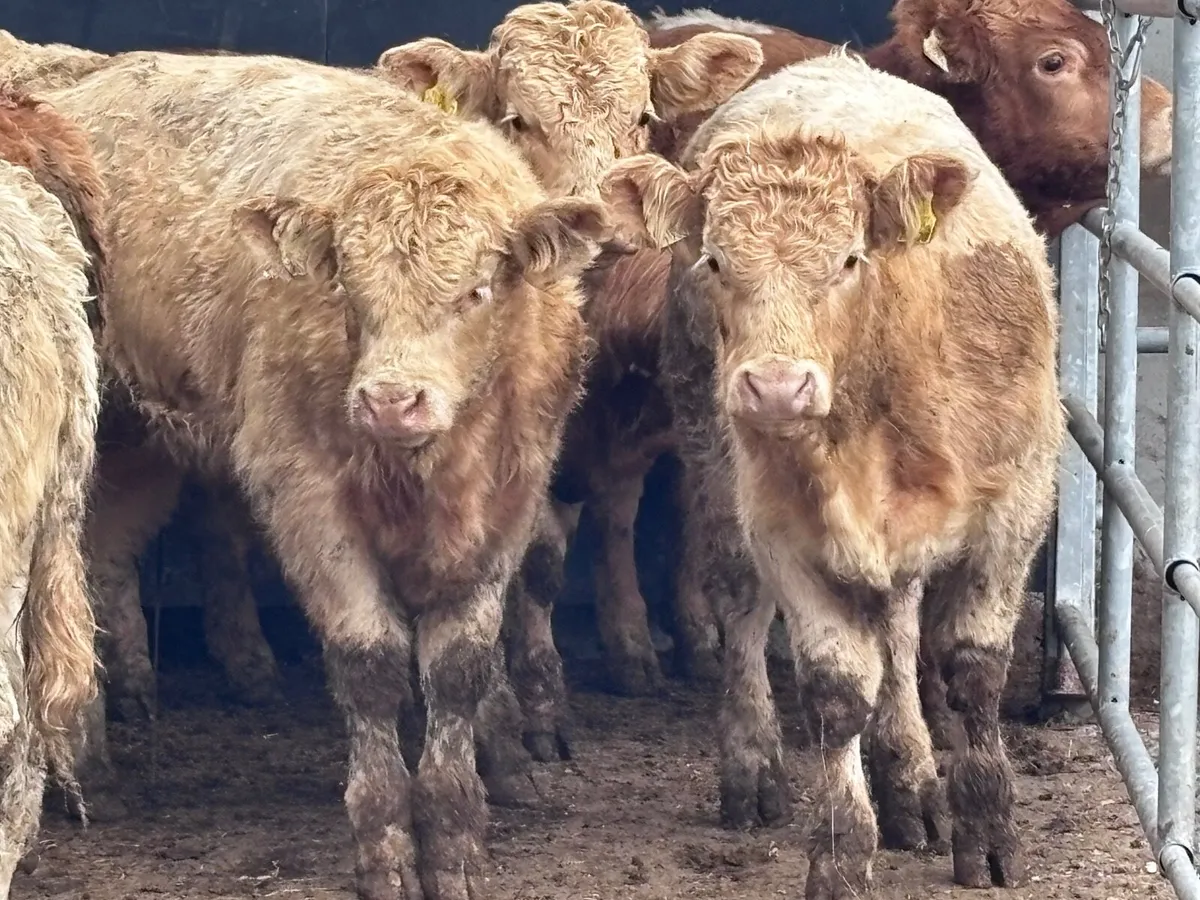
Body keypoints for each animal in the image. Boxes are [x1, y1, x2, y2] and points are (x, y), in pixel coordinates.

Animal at [40, 52, 606, 899]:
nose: (391, 400)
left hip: (142, 447)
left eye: (475, 290)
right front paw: (387, 848)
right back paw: (87, 768)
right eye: (349, 286)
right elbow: (370, 663)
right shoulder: (307, 497)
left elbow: (459, 670)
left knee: (103, 559)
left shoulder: (509, 499)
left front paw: (458, 840)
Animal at [601, 51, 1065, 896]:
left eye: (850, 259)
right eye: (715, 259)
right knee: (742, 604)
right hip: (715, 464)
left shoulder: (1014, 511)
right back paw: (755, 764)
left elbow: (971, 669)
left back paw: (911, 776)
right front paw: (841, 852)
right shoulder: (788, 535)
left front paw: (985, 827)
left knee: (901, 629)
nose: (777, 386)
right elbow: (835, 691)